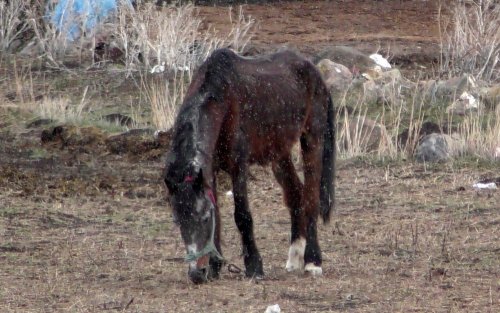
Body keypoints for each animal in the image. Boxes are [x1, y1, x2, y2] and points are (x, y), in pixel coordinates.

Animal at [164, 47, 336, 282]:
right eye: (177, 220)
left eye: (204, 218)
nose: (197, 274)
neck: (223, 97)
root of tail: (314, 70)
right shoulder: (210, 170)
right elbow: (220, 214)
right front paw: (215, 267)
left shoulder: (238, 166)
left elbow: (242, 215)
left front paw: (254, 266)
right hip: (279, 153)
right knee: (295, 194)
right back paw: (294, 256)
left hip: (312, 140)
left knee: (310, 198)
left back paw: (312, 261)